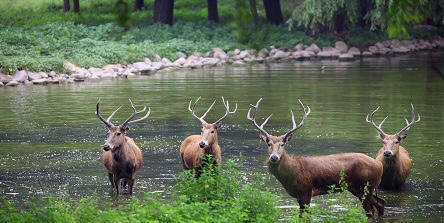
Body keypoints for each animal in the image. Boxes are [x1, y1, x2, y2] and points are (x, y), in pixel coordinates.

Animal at [246, 98, 386, 218]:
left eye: (282, 144)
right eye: (268, 144)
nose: (274, 157)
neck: (292, 173)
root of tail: (379, 165)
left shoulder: (306, 191)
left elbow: (307, 216)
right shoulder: (298, 196)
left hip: (365, 186)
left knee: (371, 211)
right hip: (360, 188)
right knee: (380, 203)